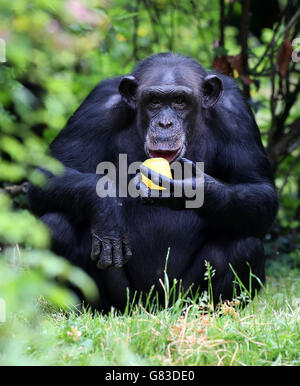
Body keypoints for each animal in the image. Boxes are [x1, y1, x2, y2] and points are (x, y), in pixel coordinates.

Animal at [28, 52, 278, 310]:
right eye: (154, 101)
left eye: (179, 100)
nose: (165, 123)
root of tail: (153, 305)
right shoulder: (96, 107)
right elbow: (48, 174)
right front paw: (107, 210)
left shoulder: (236, 113)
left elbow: (260, 189)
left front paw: (192, 190)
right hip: (126, 299)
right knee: (57, 226)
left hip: (181, 295)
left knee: (245, 243)